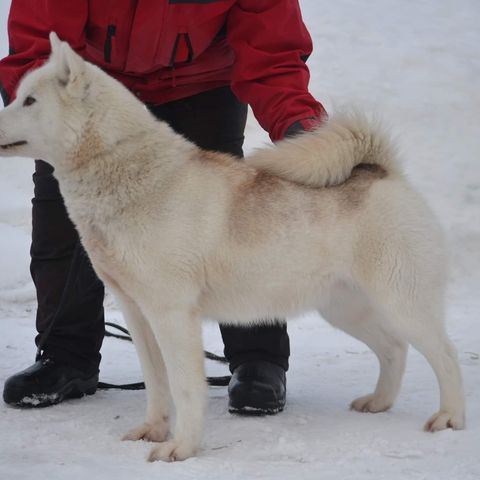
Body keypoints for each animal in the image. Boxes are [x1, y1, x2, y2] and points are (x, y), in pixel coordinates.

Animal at [0, 32, 464, 462]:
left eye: (30, 101)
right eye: (18, 95)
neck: (127, 171)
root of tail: (382, 172)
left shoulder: (173, 315)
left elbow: (185, 389)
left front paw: (181, 448)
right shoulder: (137, 314)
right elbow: (156, 385)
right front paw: (153, 430)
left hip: (401, 304)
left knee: (446, 355)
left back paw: (450, 418)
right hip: (345, 308)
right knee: (394, 349)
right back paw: (379, 402)